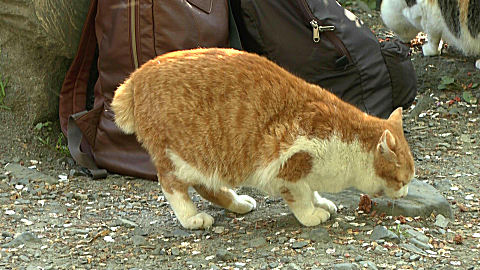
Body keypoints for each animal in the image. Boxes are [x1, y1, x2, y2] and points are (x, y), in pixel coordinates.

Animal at [110, 47, 414, 229]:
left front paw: (320, 201)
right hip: (183, 155)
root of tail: (135, 78)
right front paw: (311, 213)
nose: (405, 193)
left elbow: (312, 190)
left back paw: (237, 203)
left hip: (207, 162)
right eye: (402, 181)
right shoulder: (289, 163)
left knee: (207, 186)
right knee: (172, 185)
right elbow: (300, 196)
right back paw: (192, 217)